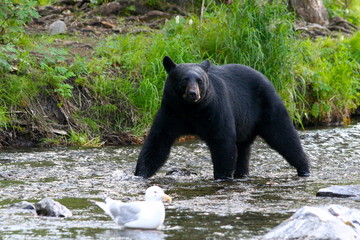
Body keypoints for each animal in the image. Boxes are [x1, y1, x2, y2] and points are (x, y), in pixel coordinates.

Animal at [135, 56, 310, 179]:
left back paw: (304, 168)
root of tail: (266, 78)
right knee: (243, 149)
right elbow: (158, 141)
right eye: (184, 79)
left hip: (267, 106)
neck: (191, 110)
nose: (193, 94)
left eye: (200, 80)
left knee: (283, 135)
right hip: (245, 123)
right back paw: (241, 174)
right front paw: (140, 173)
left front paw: (222, 176)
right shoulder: (171, 111)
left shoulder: (214, 110)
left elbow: (222, 140)